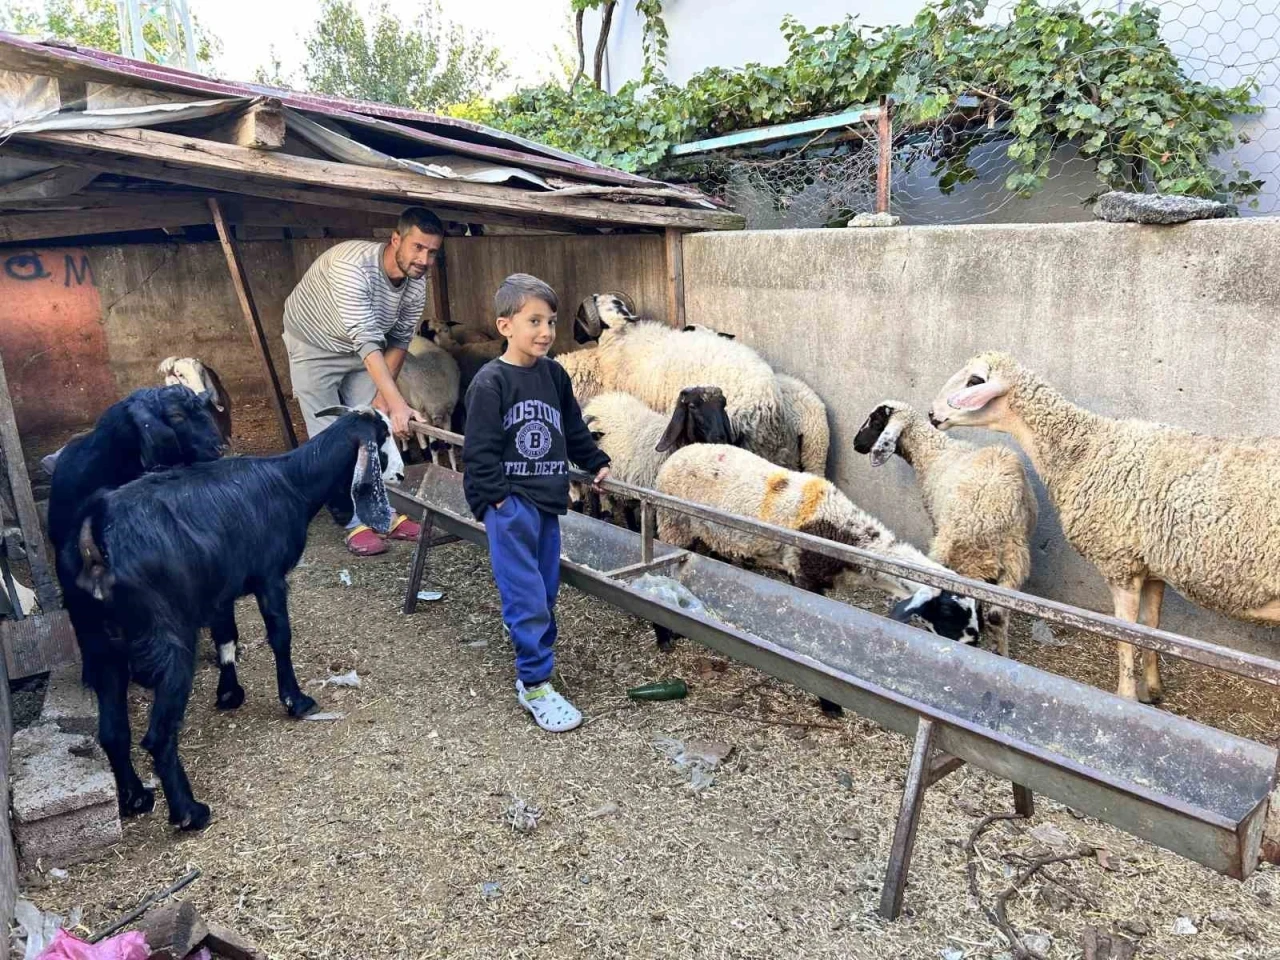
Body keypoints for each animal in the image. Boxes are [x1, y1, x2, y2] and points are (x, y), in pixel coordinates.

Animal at [66, 407, 404, 829]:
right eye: (385, 437)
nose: (401, 475)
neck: (291, 481)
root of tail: (95, 539)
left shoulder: (220, 589)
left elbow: (227, 636)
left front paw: (229, 694)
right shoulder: (269, 576)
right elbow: (280, 635)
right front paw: (295, 700)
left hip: (100, 645)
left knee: (112, 732)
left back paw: (137, 798)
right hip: (167, 640)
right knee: (158, 735)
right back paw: (189, 813)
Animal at [849, 401, 1039, 660]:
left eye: (876, 421)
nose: (856, 444)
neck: (934, 452)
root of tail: (991, 519)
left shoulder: (935, 522)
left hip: (953, 550)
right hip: (1014, 563)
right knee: (997, 616)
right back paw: (1000, 651)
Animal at [926, 350, 1280, 701]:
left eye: (975, 380)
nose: (931, 413)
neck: (1085, 449)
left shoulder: (1119, 564)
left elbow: (1126, 637)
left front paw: (1126, 697)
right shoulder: (1151, 568)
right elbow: (1151, 627)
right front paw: (1152, 690)